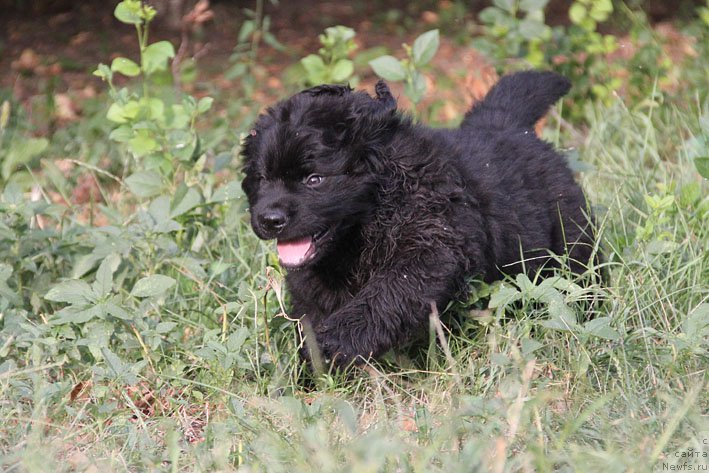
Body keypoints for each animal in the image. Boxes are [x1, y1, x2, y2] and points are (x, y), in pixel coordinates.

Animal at [241, 71, 596, 366]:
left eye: (314, 179)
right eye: (261, 178)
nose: (269, 219)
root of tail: (508, 125)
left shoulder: (431, 248)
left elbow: (386, 295)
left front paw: (336, 343)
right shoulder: (313, 281)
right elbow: (311, 314)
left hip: (572, 241)